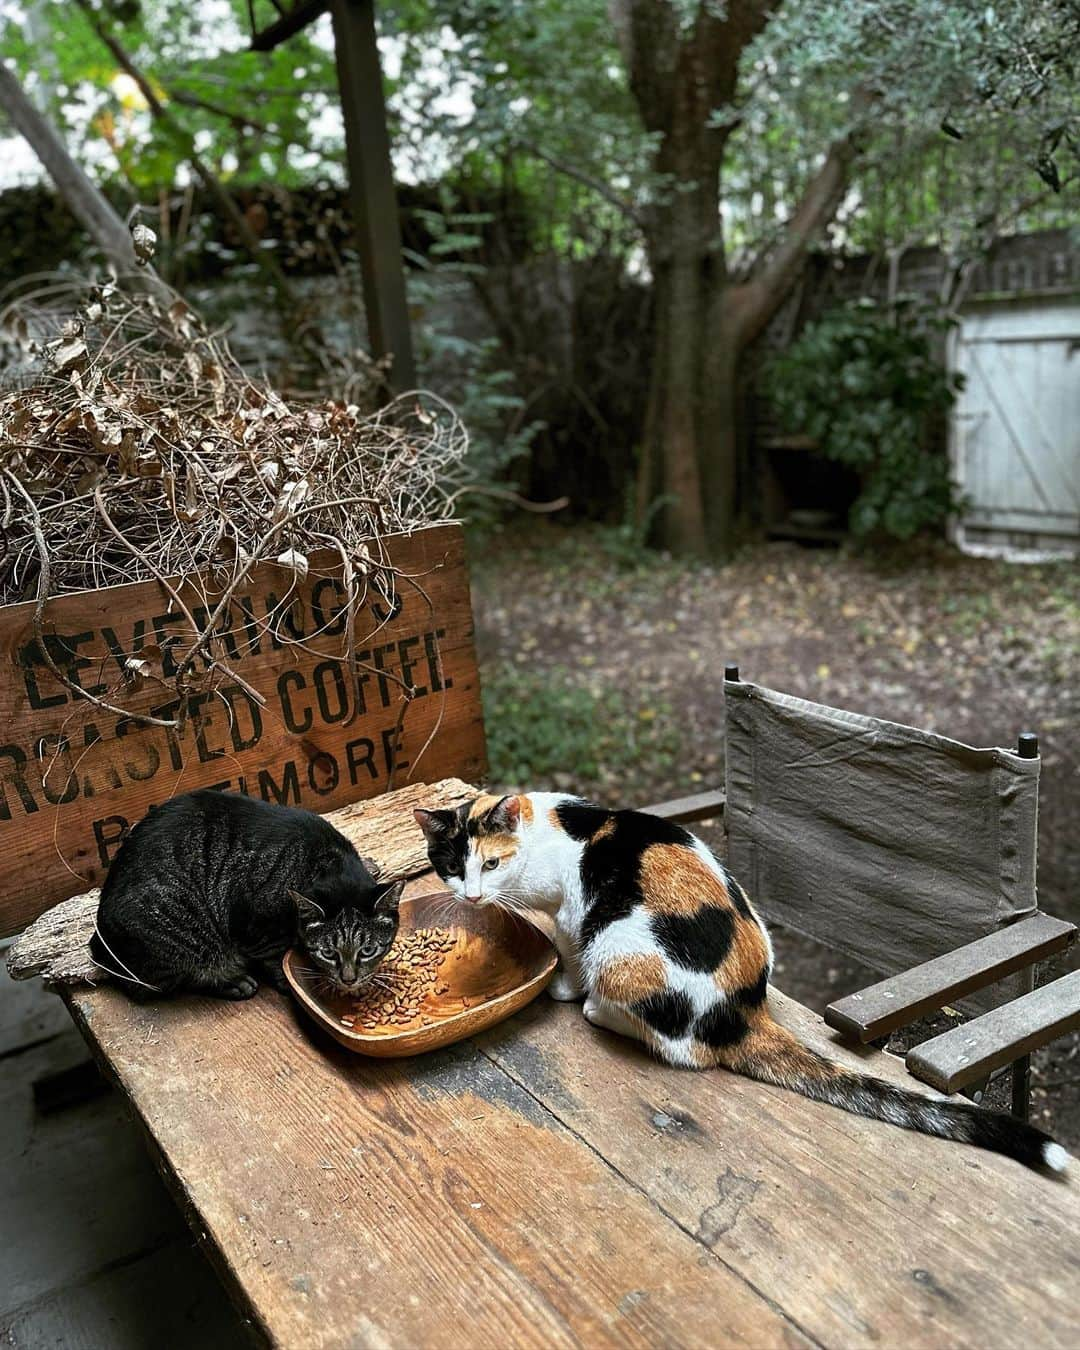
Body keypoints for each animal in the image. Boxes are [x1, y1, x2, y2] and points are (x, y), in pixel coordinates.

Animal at [91, 788, 405, 1004]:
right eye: (328, 953)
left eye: (368, 950)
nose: (349, 980)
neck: (324, 861)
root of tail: (99, 942)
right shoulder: (255, 925)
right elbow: (273, 958)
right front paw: (287, 982)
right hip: (182, 937)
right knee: (172, 980)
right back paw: (234, 981)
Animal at [415, 788, 1069, 1171]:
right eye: (452, 866)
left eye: (492, 863)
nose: (471, 895)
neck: (546, 830)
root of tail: (743, 1010)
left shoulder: (576, 916)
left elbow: (570, 951)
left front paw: (564, 987)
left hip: (621, 953)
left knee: (682, 1049)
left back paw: (600, 1012)